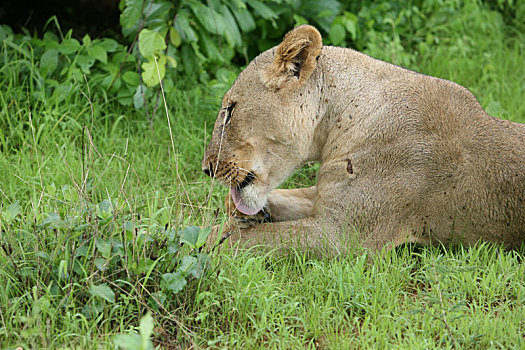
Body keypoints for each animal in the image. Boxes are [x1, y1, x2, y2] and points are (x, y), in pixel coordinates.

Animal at [201, 23, 524, 254]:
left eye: (230, 110)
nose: (207, 168)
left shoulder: (342, 236)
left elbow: (248, 240)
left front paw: (200, 241)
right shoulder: (326, 199)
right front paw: (243, 215)